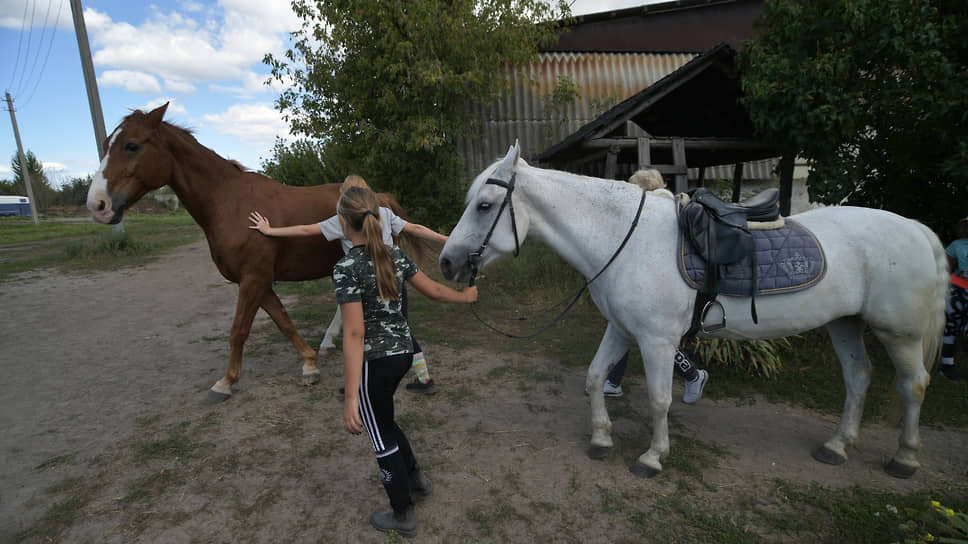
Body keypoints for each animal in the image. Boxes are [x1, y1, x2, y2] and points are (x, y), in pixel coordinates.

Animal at [85, 103, 414, 400]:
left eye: (132, 145)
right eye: (106, 144)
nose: (98, 205)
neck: (230, 203)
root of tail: (381, 197)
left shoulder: (253, 279)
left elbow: (238, 330)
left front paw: (225, 383)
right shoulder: (258, 282)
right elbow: (282, 321)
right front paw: (309, 365)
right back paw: (330, 341)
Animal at [442, 142, 948, 478]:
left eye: (484, 205)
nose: (447, 263)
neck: (623, 238)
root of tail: (915, 227)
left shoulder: (657, 341)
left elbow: (660, 398)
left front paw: (652, 457)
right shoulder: (621, 330)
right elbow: (593, 377)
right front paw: (601, 438)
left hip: (899, 333)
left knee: (913, 385)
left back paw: (904, 458)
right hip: (846, 324)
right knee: (859, 377)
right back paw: (837, 446)